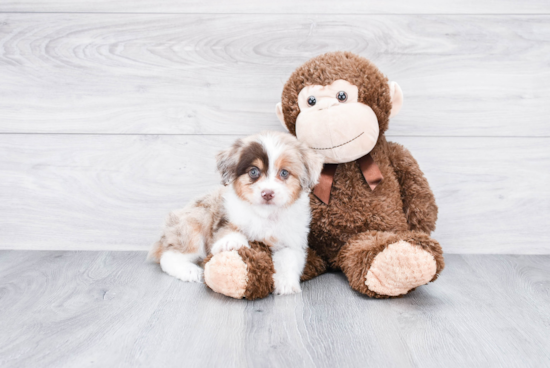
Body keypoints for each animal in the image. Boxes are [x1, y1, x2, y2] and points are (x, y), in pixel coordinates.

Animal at [149, 131, 326, 294]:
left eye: (284, 173)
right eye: (254, 172)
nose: (267, 193)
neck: (265, 214)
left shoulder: (292, 241)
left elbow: (289, 259)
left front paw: (286, 283)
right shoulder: (224, 217)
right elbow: (230, 229)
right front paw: (231, 241)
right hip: (192, 226)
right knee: (169, 256)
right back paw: (189, 271)